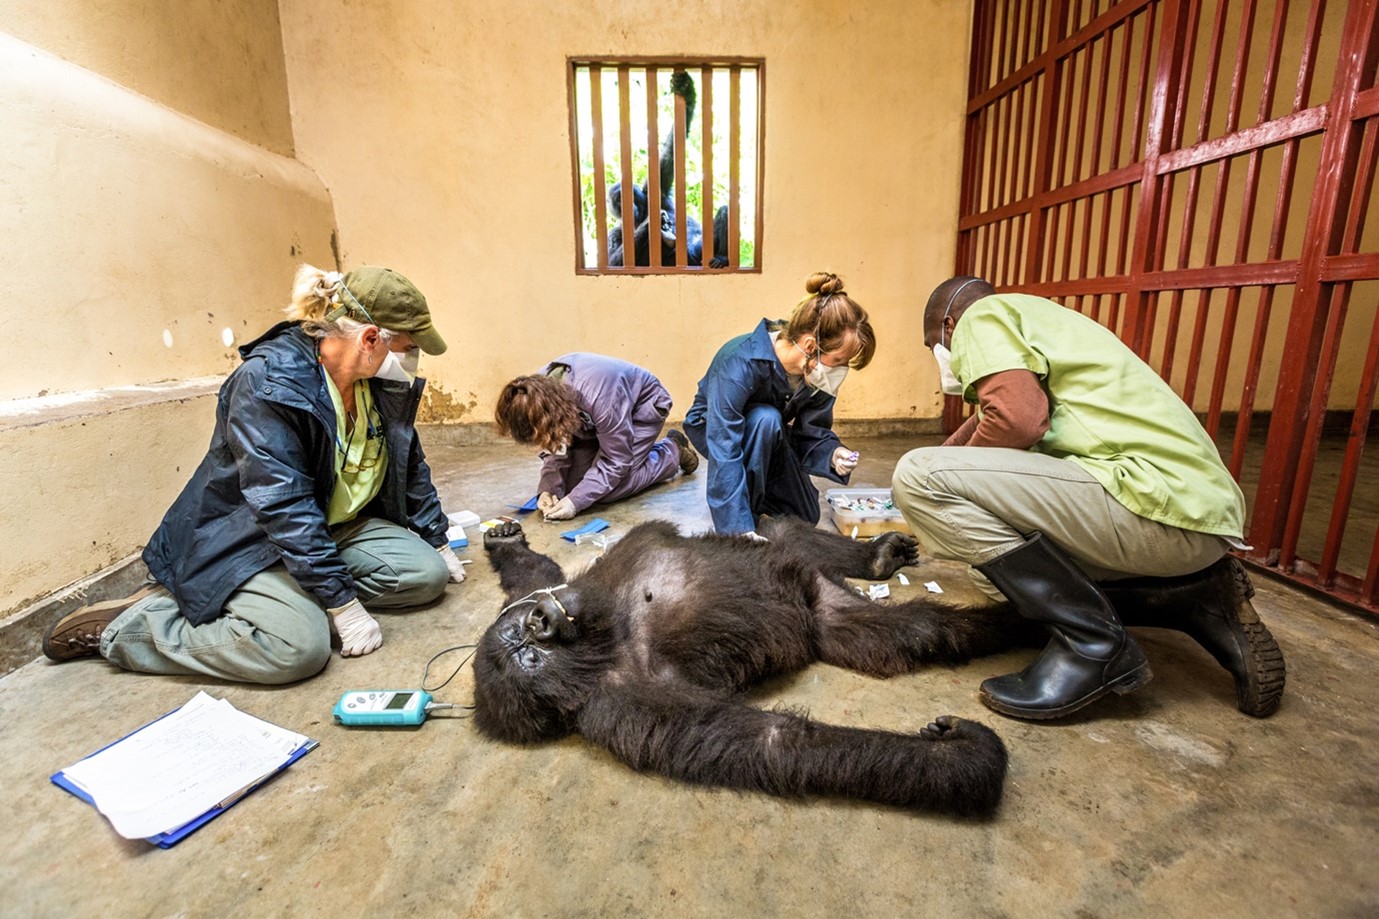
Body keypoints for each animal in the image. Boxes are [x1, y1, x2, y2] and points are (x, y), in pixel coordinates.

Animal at [468, 516, 1037, 816]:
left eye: (523, 635)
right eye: (530, 659)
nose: (542, 621)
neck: (606, 631)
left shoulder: (555, 589)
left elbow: (536, 572)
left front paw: (507, 542)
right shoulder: (628, 707)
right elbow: (776, 743)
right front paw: (962, 759)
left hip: (803, 572)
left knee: (783, 529)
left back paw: (884, 559)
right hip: (833, 614)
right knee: (912, 630)